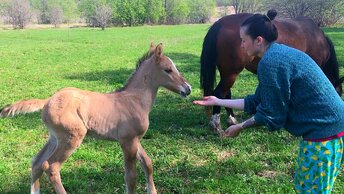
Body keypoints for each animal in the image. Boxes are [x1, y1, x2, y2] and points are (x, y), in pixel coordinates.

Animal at [0, 43, 191, 194]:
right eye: (168, 70)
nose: (187, 89)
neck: (134, 100)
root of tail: (48, 101)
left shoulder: (135, 139)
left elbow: (148, 164)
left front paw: (153, 191)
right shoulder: (127, 141)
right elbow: (131, 177)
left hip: (55, 138)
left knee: (37, 162)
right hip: (72, 137)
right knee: (51, 167)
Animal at [200, 11, 342, 133]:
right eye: (339, 93)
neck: (318, 39)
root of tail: (220, 23)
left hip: (227, 73)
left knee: (225, 94)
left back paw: (232, 120)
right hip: (231, 73)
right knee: (219, 93)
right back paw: (216, 126)